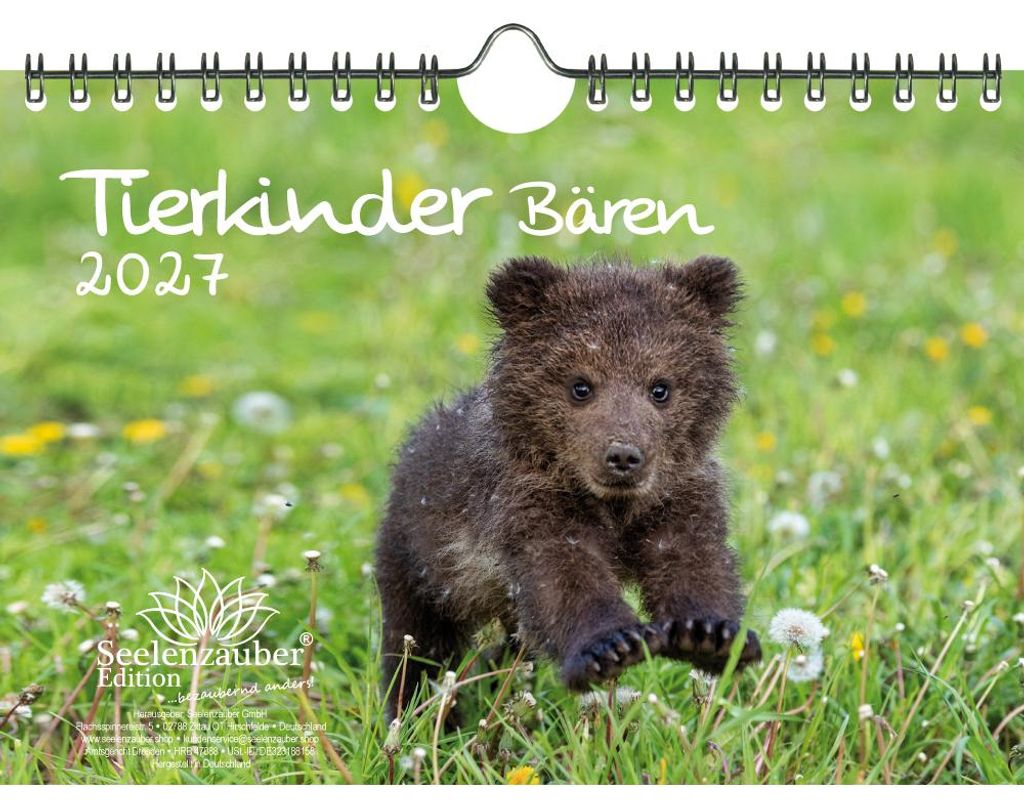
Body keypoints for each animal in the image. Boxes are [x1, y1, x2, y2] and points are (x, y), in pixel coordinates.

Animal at [375, 255, 761, 720]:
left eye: (660, 387)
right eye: (581, 385)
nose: (624, 456)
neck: (616, 506)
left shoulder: (678, 496)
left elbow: (695, 561)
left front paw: (710, 634)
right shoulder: (530, 505)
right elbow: (564, 576)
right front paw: (611, 646)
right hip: (421, 562)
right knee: (418, 645)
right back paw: (422, 714)